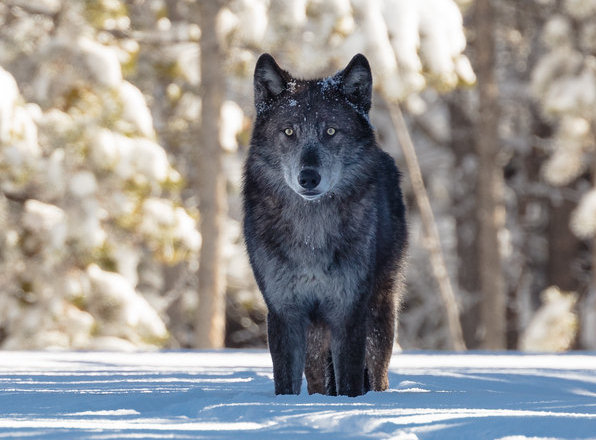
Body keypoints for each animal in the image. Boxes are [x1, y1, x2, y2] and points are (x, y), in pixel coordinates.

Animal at [242, 53, 406, 398]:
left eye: (330, 131)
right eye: (289, 132)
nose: (308, 177)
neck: (311, 234)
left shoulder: (348, 312)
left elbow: (350, 382)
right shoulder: (285, 312)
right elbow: (285, 384)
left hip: (379, 314)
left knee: (378, 374)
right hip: (316, 336)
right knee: (318, 379)